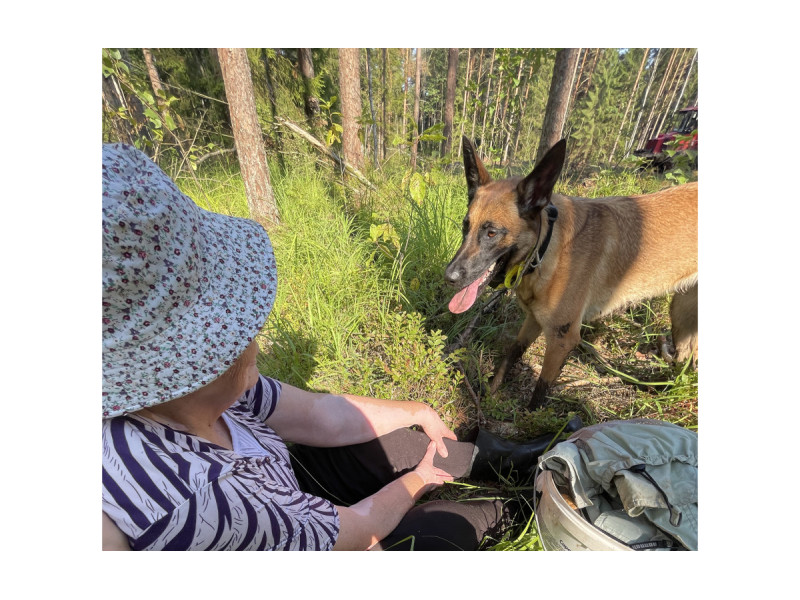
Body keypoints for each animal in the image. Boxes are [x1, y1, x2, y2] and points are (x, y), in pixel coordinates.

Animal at [446, 135, 696, 408]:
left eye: (491, 233)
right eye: (465, 227)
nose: (449, 277)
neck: (546, 249)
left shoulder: (561, 340)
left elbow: (540, 392)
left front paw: (527, 417)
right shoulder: (534, 320)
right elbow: (511, 353)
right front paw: (491, 394)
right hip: (682, 315)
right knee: (686, 358)